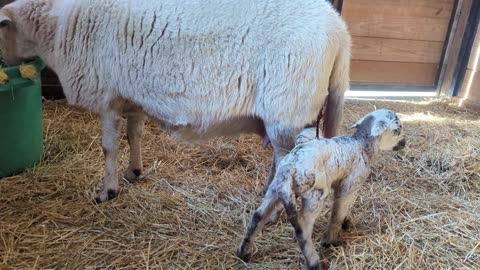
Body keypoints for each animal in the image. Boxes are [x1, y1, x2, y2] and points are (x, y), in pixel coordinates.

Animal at [0, 0, 352, 202]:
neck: (57, 29)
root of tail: (339, 29)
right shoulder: (133, 97)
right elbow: (134, 135)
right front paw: (134, 172)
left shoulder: (109, 97)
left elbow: (108, 148)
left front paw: (107, 192)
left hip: (287, 107)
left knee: (286, 159)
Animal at [236, 109, 404, 270]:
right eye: (397, 130)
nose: (404, 143)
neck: (362, 145)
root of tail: (291, 167)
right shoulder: (349, 185)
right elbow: (338, 212)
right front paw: (329, 240)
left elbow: (342, 210)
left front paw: (346, 222)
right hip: (314, 195)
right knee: (303, 227)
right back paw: (314, 262)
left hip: (275, 189)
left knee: (258, 216)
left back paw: (243, 252)